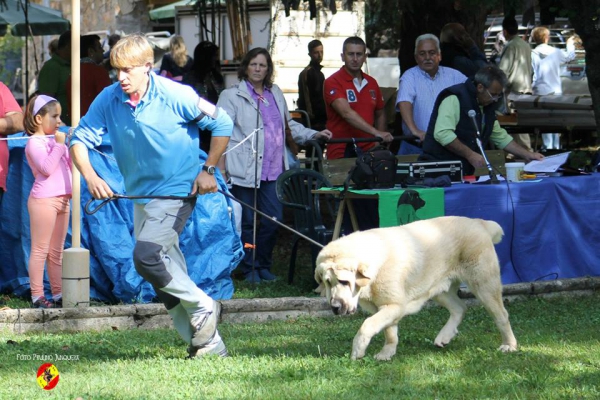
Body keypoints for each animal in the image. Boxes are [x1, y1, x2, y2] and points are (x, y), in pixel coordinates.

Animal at [316, 217, 516, 360]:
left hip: (483, 285)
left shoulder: (395, 305)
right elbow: (389, 331)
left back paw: (509, 345)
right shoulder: (387, 307)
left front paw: (358, 349)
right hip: (438, 289)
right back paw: (444, 336)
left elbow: (368, 324)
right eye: (327, 282)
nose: (335, 307)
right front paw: (387, 353)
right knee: (460, 308)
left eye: (343, 281)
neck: (375, 266)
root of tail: (480, 223)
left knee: (501, 315)